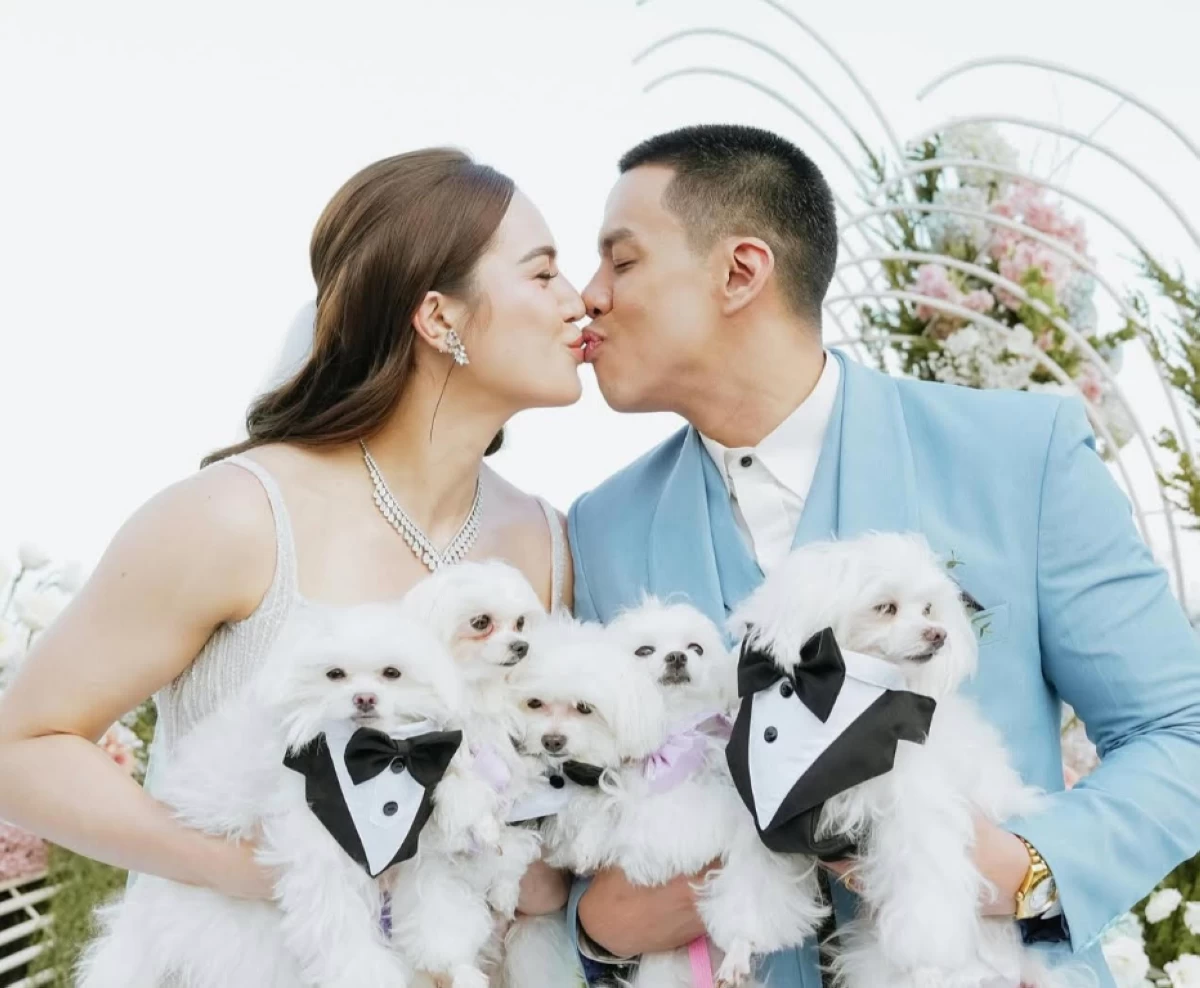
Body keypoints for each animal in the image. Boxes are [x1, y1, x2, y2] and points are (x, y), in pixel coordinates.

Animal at [730, 532, 1083, 988]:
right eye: (886, 608)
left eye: (929, 608)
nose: (939, 634)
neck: (840, 703)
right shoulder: (771, 815)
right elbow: (754, 882)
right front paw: (741, 943)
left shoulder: (914, 812)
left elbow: (926, 887)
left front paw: (929, 953)